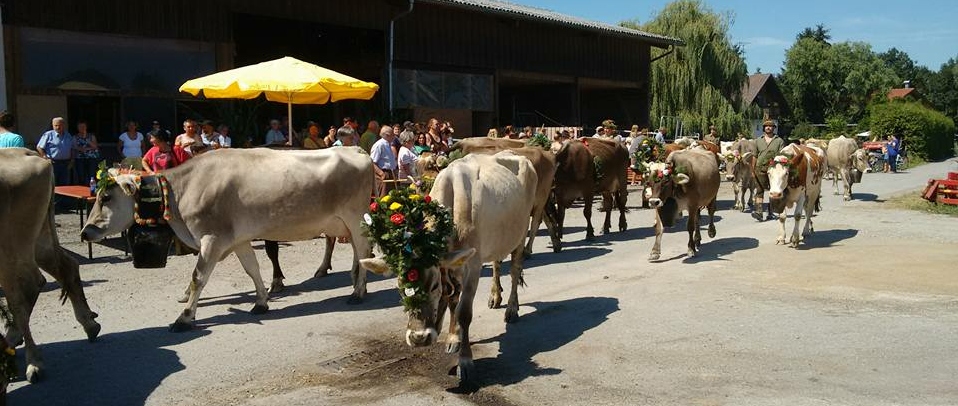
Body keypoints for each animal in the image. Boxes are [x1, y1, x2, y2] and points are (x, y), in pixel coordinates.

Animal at [0, 147, 101, 382]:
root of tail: (26, 153)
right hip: (39, 240)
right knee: (67, 266)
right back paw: (90, 325)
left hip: (13, 247)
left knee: (26, 289)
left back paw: (33, 362)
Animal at [79, 147, 376, 332]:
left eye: (106, 197)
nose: (85, 232)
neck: (182, 190)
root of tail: (355, 149)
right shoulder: (238, 240)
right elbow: (252, 269)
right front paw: (261, 302)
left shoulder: (212, 239)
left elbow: (198, 277)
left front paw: (185, 318)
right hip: (346, 223)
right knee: (358, 252)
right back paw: (356, 283)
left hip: (354, 216)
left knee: (363, 250)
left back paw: (357, 292)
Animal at [360, 151, 540, 386]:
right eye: (400, 289)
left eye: (434, 286)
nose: (419, 338)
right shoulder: (453, 264)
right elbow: (453, 301)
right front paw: (453, 338)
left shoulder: (472, 265)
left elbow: (464, 312)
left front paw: (465, 361)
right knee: (497, 264)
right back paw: (495, 297)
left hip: (521, 231)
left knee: (515, 269)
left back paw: (512, 309)